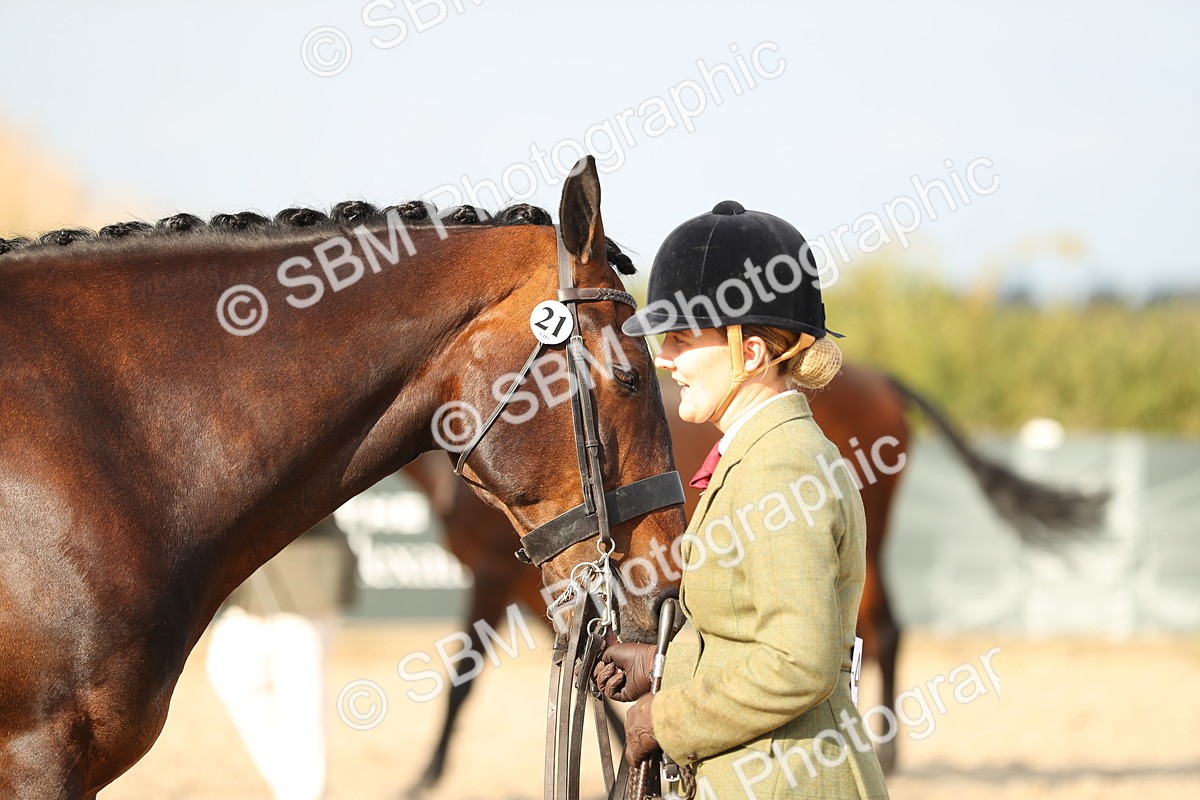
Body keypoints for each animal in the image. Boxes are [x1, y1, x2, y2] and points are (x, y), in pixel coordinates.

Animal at [404, 360, 1108, 786]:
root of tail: (877, 378)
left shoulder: (497, 579)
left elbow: (464, 677)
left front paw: (425, 775)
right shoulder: (550, 593)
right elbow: (593, 685)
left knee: (882, 632)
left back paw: (888, 749)